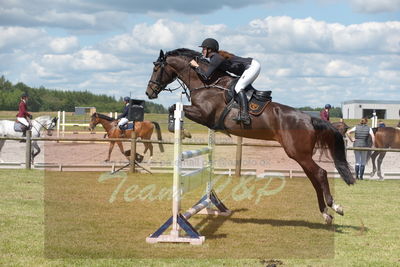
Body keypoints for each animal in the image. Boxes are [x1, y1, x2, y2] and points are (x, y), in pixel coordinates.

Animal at [145, 49, 354, 225]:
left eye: (156, 68)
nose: (149, 92)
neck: (205, 83)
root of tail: (309, 118)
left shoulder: (204, 114)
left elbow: (174, 107)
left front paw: (179, 129)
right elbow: (174, 107)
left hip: (298, 153)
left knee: (320, 173)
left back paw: (334, 206)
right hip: (300, 155)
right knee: (314, 177)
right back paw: (326, 213)